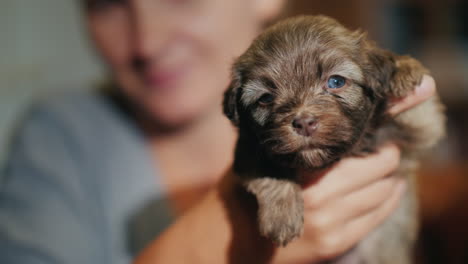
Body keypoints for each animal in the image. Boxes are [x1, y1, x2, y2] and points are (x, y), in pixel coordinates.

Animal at [223, 15, 446, 262]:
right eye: (265, 98)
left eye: (336, 82)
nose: (304, 122)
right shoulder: (248, 149)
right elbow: (267, 171)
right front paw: (281, 215)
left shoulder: (423, 127)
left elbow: (415, 111)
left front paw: (400, 68)